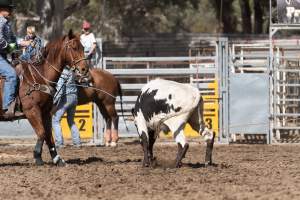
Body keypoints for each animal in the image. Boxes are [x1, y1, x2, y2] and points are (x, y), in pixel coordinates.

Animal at [0, 30, 88, 166]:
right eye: (73, 47)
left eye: (83, 47)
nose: (84, 69)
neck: (39, 76)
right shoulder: (31, 111)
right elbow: (41, 132)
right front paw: (37, 157)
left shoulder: (46, 112)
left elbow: (48, 135)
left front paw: (57, 159)